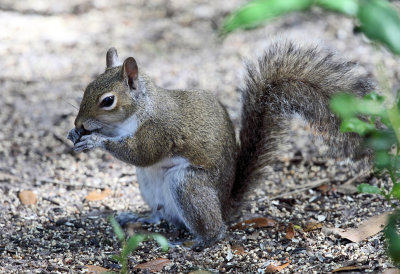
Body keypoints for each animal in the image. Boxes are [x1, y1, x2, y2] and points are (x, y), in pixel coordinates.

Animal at [66, 40, 376, 248]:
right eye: (86, 89)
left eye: (108, 100)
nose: (79, 124)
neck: (140, 108)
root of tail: (226, 205)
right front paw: (74, 135)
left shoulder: (160, 130)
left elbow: (141, 153)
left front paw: (95, 140)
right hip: (148, 185)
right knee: (162, 215)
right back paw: (142, 219)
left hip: (187, 183)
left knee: (215, 229)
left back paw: (197, 242)